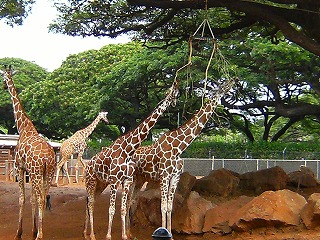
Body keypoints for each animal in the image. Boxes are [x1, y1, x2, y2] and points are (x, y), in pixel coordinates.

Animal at [0, 65, 55, 240]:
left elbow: (22, 198)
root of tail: (47, 158)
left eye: (3, 77)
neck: (23, 127)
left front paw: (19, 232)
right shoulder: (29, 171)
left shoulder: (19, 167)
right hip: (48, 173)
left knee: (41, 197)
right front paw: (33, 230)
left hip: (38, 172)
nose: (3, 86)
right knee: (44, 197)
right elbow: (31, 199)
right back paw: (39, 232)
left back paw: (40, 235)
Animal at [84, 80, 180, 240]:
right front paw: (109, 236)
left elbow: (123, 208)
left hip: (100, 183)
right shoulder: (115, 181)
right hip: (90, 181)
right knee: (90, 203)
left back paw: (85, 233)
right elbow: (111, 209)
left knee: (89, 201)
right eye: (172, 91)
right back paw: (91, 235)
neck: (128, 149)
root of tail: (88, 163)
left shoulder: (126, 181)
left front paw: (124, 235)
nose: (174, 102)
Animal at [131, 78, 235, 234]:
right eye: (222, 85)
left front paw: (170, 232)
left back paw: (130, 232)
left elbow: (169, 206)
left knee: (131, 201)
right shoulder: (164, 176)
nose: (234, 80)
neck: (178, 148)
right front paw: (163, 231)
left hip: (140, 179)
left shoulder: (175, 177)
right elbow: (162, 206)